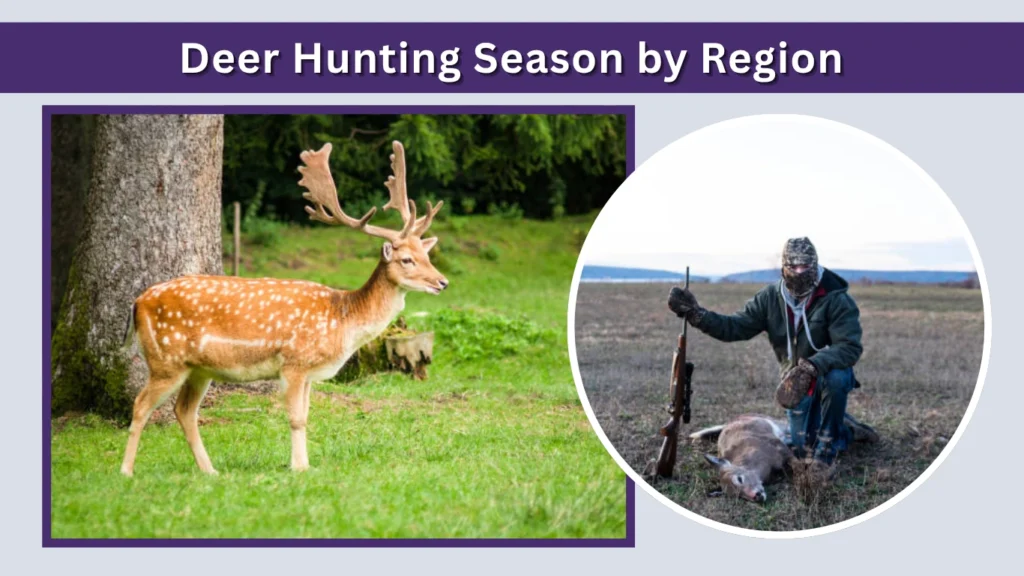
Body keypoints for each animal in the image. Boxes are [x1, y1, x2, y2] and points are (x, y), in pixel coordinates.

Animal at [119, 140, 448, 477]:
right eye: (406, 259)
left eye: (427, 254)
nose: (442, 282)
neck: (342, 319)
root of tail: (137, 302)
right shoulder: (294, 362)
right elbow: (296, 418)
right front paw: (299, 468)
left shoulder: (309, 373)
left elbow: (306, 416)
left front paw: (304, 464)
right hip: (166, 359)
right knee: (141, 405)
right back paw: (126, 471)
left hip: (198, 368)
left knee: (183, 410)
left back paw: (210, 471)